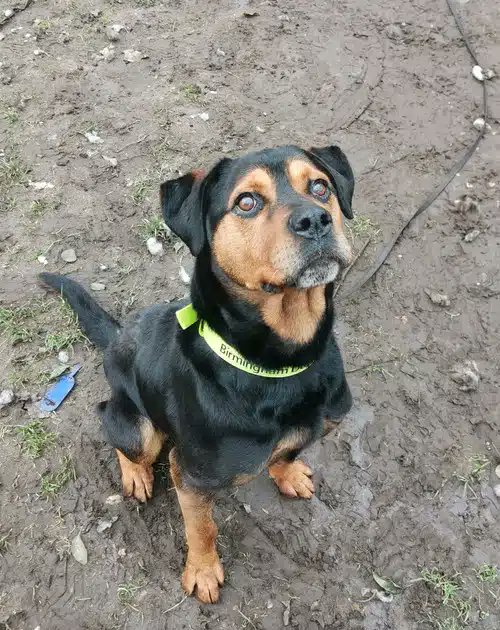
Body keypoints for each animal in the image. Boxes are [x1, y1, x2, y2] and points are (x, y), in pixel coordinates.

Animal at [39, 144, 354, 608]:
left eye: (320, 187)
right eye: (247, 202)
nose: (315, 220)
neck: (279, 364)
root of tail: (117, 337)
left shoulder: (321, 423)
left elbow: (288, 451)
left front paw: (288, 472)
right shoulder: (190, 476)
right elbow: (202, 528)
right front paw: (203, 571)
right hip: (138, 426)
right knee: (114, 428)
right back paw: (135, 473)